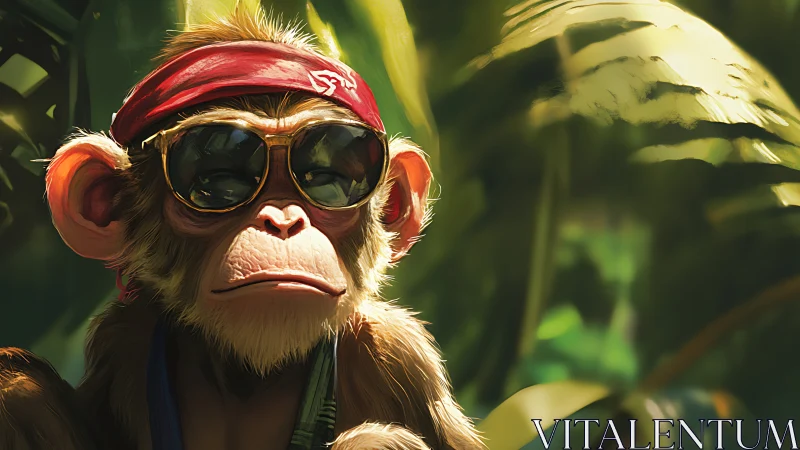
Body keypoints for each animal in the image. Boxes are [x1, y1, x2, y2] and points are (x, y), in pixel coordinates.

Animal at [0, 9, 485, 450]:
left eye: (328, 178)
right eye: (220, 179)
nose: (284, 219)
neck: (246, 377)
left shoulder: (397, 353)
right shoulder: (121, 337)